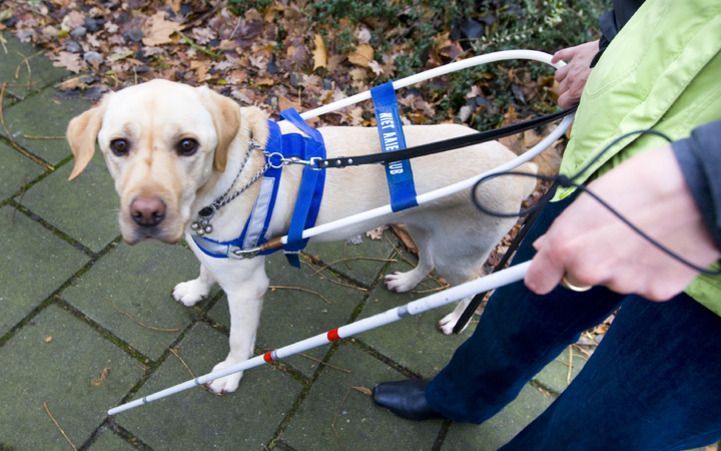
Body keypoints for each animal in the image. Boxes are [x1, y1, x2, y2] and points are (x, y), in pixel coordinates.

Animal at [66, 79, 536, 394]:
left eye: (187, 145)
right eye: (118, 145)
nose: (146, 214)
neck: (228, 180)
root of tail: (523, 166)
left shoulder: (248, 288)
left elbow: (239, 340)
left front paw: (230, 376)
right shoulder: (213, 250)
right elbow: (204, 269)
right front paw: (195, 290)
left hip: (460, 252)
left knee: (478, 285)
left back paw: (455, 319)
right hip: (421, 225)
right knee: (428, 260)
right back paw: (405, 282)